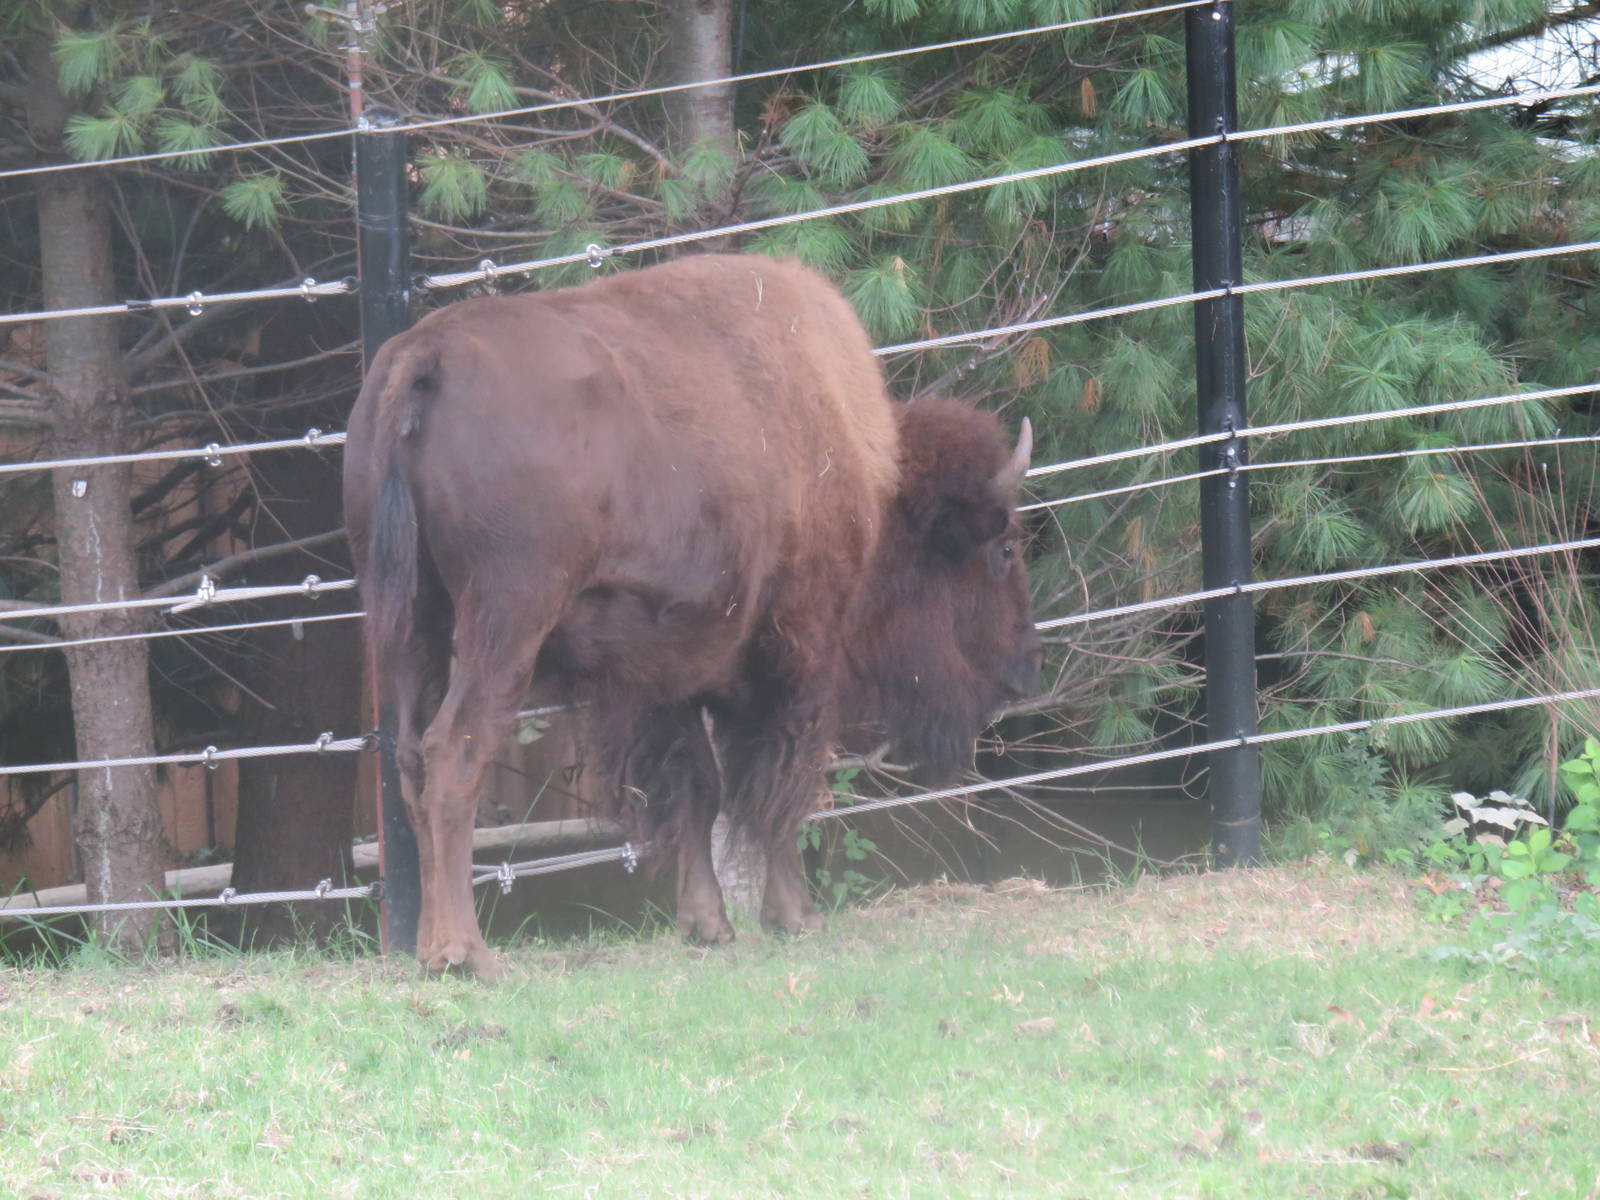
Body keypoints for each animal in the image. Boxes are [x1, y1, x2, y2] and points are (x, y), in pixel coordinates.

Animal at [344, 254, 1038, 977]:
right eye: (1004, 548)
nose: (1025, 669)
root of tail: (426, 353)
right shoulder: (799, 654)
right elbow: (780, 783)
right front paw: (795, 915)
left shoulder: (665, 673)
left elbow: (699, 789)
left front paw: (706, 923)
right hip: (504, 622)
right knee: (456, 749)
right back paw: (466, 952)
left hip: (408, 622)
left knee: (411, 758)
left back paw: (430, 946)